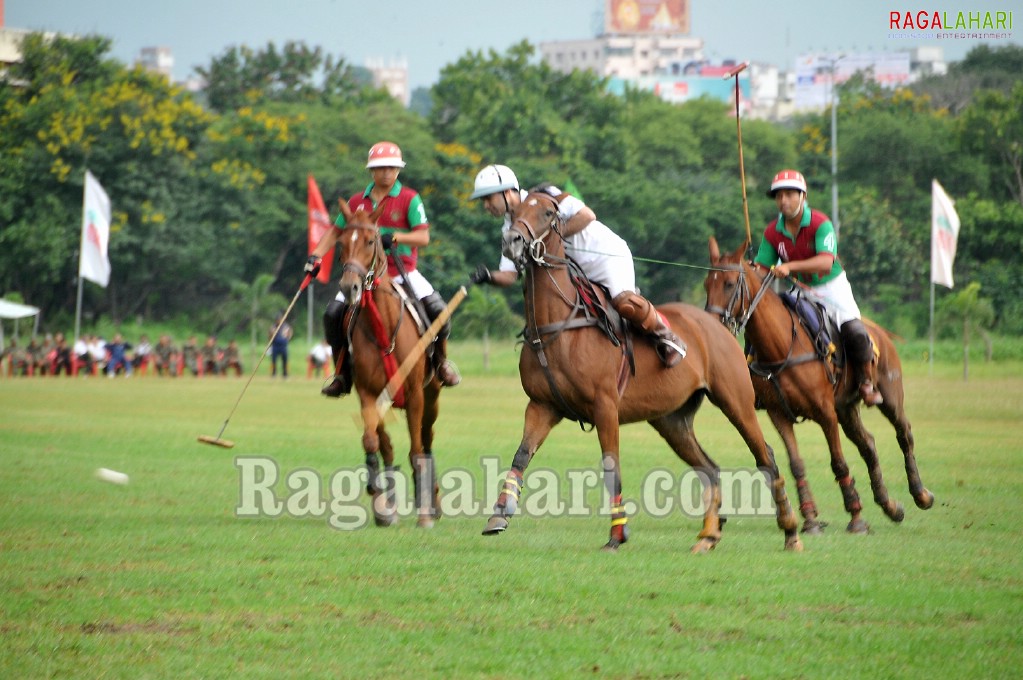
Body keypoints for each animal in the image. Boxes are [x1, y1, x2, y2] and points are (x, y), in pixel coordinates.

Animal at [335, 199, 439, 527]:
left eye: (371, 241)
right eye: (341, 242)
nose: (350, 287)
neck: (383, 327)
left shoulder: (416, 393)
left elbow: (416, 451)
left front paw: (424, 514)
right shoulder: (368, 392)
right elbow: (374, 442)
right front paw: (379, 499)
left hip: (432, 396)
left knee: (427, 441)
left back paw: (432, 502)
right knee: (389, 447)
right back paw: (390, 503)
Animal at [482, 192, 802, 552]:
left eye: (549, 212)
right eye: (513, 214)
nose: (512, 240)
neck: (557, 326)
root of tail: (719, 325)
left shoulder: (605, 406)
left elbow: (611, 467)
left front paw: (617, 535)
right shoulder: (542, 405)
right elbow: (521, 455)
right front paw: (499, 515)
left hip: (737, 402)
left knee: (766, 456)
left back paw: (791, 531)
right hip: (671, 420)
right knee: (709, 468)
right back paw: (708, 535)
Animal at [703, 236, 937, 531]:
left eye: (730, 283)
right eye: (706, 284)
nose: (711, 325)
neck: (781, 345)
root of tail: (879, 331)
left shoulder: (825, 412)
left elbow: (839, 463)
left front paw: (856, 517)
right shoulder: (778, 413)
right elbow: (796, 464)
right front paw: (811, 519)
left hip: (889, 395)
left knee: (904, 433)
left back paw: (921, 494)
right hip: (846, 408)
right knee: (868, 445)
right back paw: (890, 506)